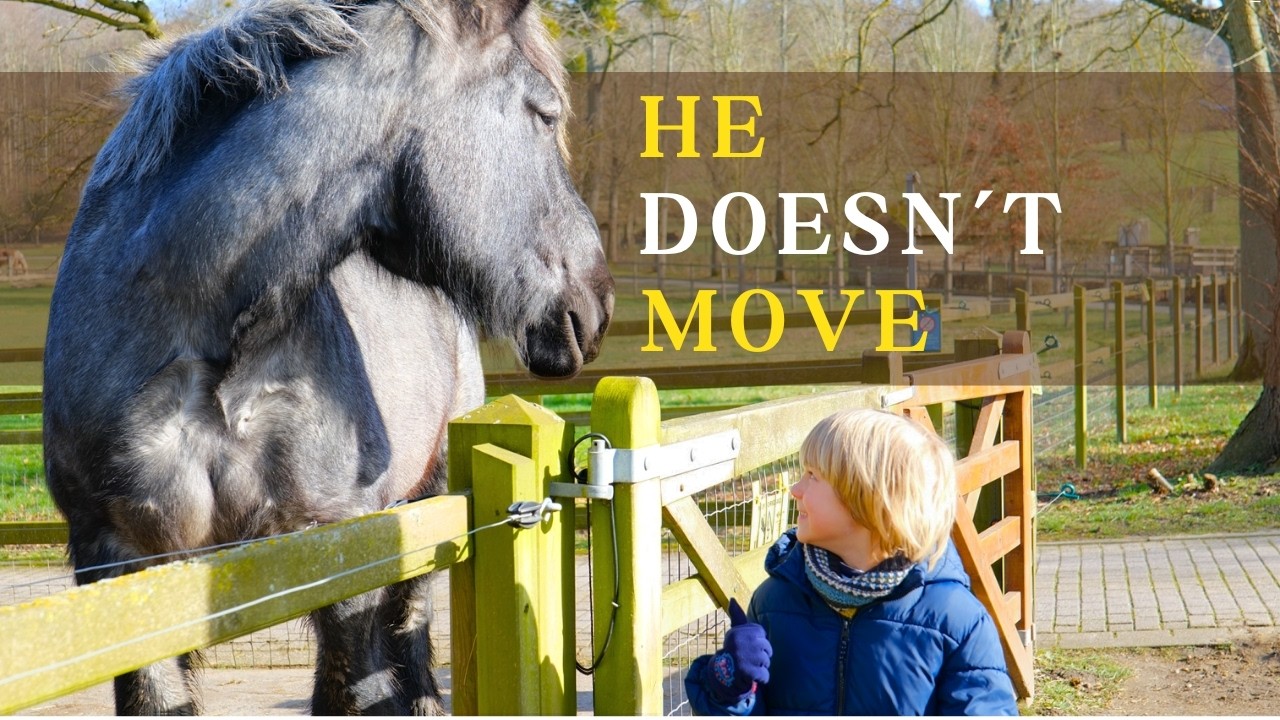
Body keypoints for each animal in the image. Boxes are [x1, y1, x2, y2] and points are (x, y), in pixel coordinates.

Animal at [42, 0, 614, 713]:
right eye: (546, 114)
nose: (597, 301)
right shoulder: (123, 563)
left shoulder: (340, 549)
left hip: (424, 500)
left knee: (411, 637)